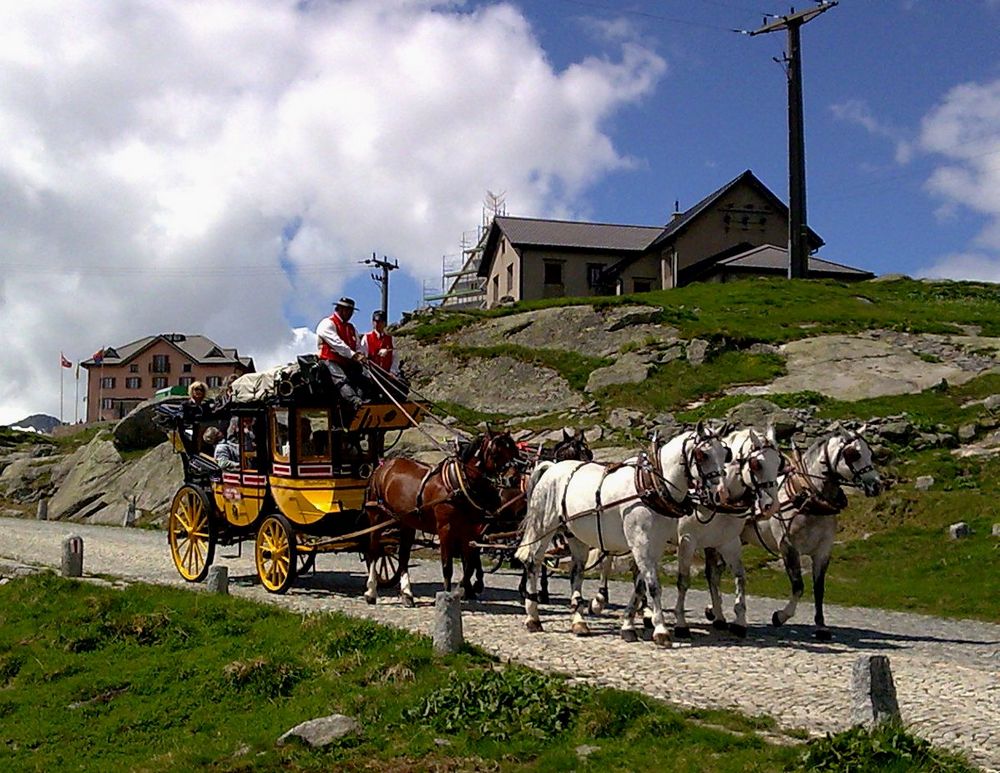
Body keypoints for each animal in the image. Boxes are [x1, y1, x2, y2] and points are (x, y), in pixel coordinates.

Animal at [364, 428, 516, 604]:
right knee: (374, 551)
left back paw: (407, 593)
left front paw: (463, 590)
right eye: (495, 452)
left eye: (513, 450)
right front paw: (448, 596)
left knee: (403, 556)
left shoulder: (468, 531)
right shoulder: (445, 530)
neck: (456, 484)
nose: (513, 478)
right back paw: (371, 592)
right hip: (376, 516)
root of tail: (383, 466)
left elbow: (469, 565)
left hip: (407, 521)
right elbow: (447, 566)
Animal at [516, 422, 728, 644]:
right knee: (533, 562)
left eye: (725, 453)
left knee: (577, 572)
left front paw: (628, 625)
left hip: (575, 535)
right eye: (703, 454)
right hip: (544, 527)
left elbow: (640, 586)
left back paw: (579, 622)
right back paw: (533, 617)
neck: (650, 485)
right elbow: (653, 585)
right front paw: (661, 629)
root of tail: (551, 467)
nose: (721, 494)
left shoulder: (654, 546)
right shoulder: (641, 543)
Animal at [736, 428, 884, 640]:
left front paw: (821, 626)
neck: (808, 498)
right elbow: (798, 586)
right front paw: (781, 616)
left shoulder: (823, 551)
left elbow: (819, 588)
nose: (877, 485)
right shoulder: (788, 547)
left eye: (870, 453)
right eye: (853, 454)